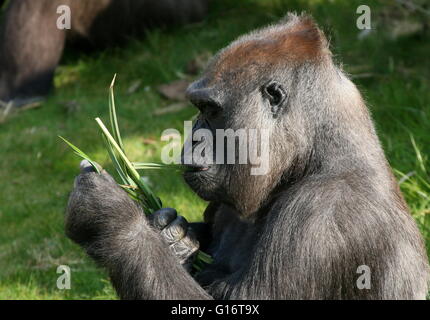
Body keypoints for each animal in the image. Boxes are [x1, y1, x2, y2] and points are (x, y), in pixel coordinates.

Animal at [64, 14, 430, 300]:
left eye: (210, 110)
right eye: (199, 108)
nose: (191, 136)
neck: (316, 155)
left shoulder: (320, 215)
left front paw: (110, 217)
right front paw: (168, 233)